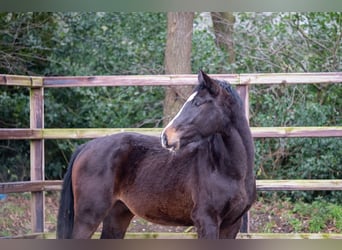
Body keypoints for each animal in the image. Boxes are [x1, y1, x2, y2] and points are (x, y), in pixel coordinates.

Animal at [57, 70, 255, 238]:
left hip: (117, 216)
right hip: (88, 217)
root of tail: (86, 146)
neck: (227, 171)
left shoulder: (231, 226)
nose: (166, 136)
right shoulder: (207, 221)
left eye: (198, 103)